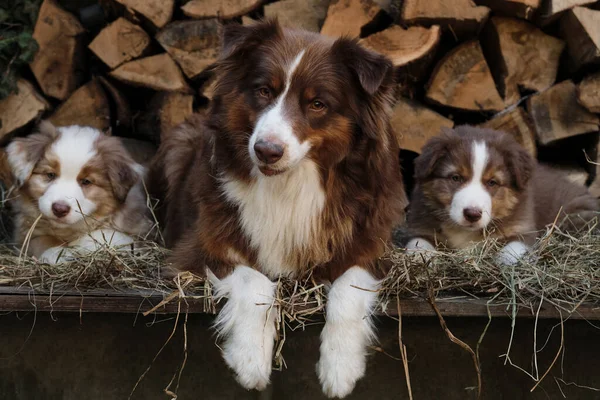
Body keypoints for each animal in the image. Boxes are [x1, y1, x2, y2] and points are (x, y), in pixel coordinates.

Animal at [6, 122, 152, 266]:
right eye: (50, 175)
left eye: (86, 181)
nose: (59, 209)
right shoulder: (24, 233)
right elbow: (40, 240)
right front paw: (57, 253)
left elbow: (103, 236)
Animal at [149, 19, 408, 400]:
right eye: (263, 91)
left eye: (317, 103)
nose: (266, 151)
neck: (290, 184)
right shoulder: (201, 246)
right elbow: (255, 281)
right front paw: (251, 360)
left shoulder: (372, 247)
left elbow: (349, 288)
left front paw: (340, 368)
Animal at [406, 125, 596, 262]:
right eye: (455, 178)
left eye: (492, 182)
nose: (472, 214)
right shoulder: (421, 226)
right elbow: (417, 245)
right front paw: (419, 259)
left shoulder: (523, 230)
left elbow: (510, 253)